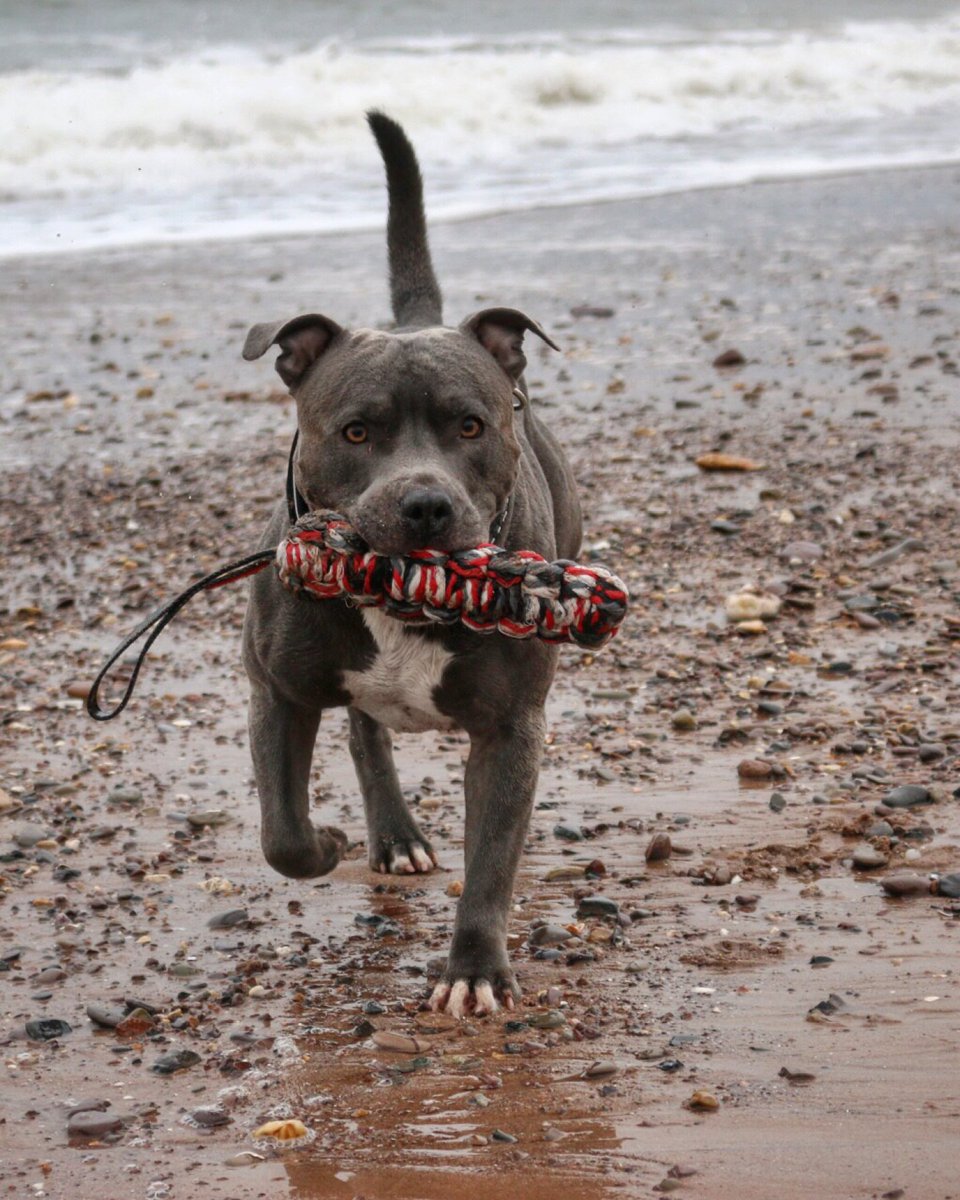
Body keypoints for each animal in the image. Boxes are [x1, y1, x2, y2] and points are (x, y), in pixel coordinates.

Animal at [243, 112, 580, 1017]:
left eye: (471, 425)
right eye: (356, 431)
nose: (426, 504)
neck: (402, 601)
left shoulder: (511, 727)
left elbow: (492, 859)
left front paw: (473, 969)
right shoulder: (276, 690)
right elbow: (283, 834)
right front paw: (325, 840)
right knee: (366, 732)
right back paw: (392, 834)